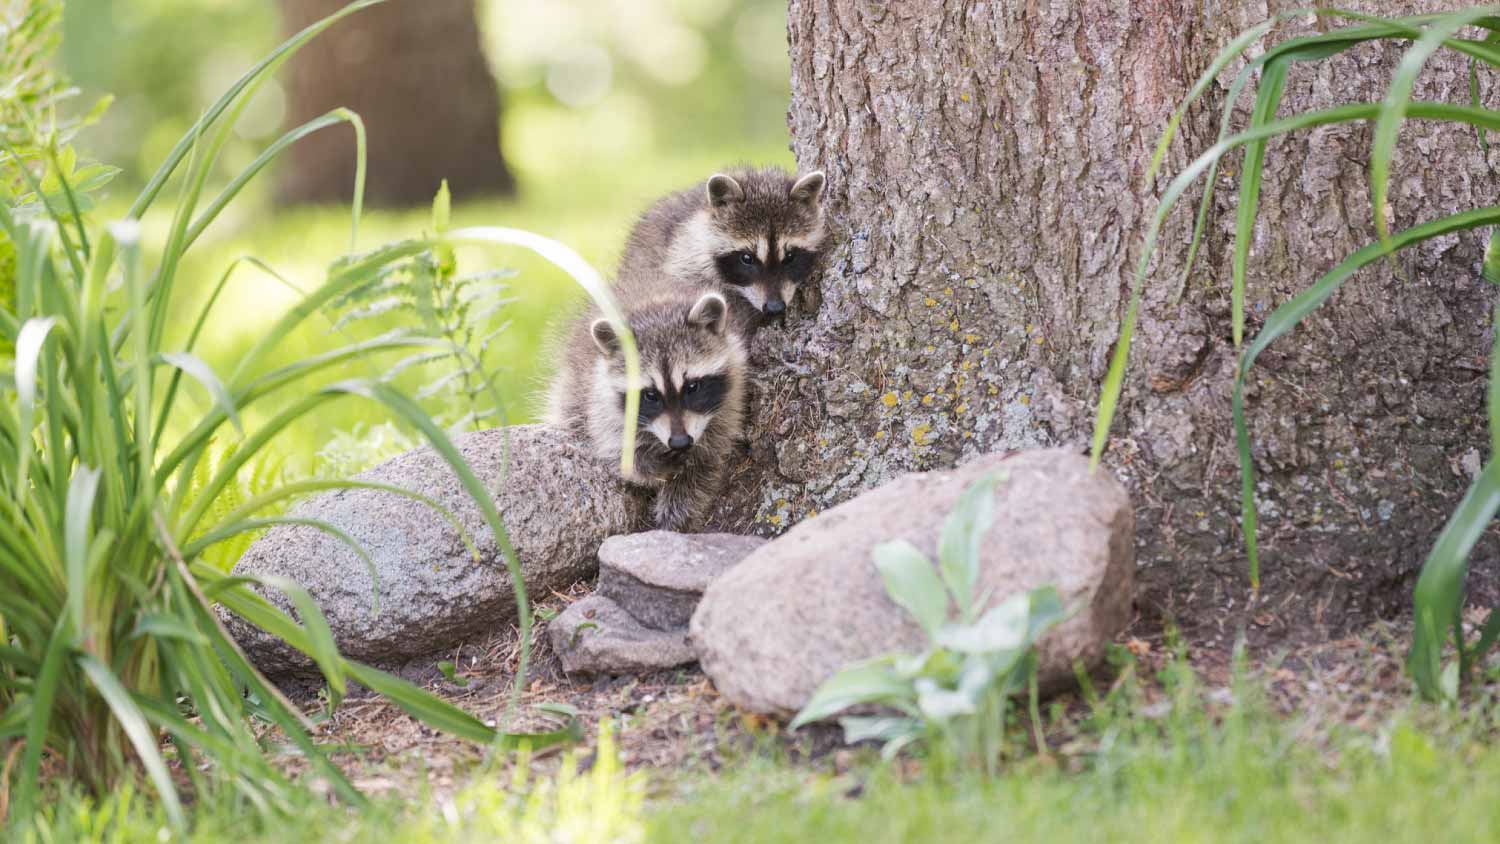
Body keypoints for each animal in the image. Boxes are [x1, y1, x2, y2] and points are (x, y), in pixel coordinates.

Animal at [545, 287, 747, 532]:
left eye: (692, 387)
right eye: (651, 395)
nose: (680, 442)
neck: (655, 303)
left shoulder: (729, 402)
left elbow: (705, 464)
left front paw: (676, 513)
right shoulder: (600, 401)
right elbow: (619, 453)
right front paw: (651, 466)